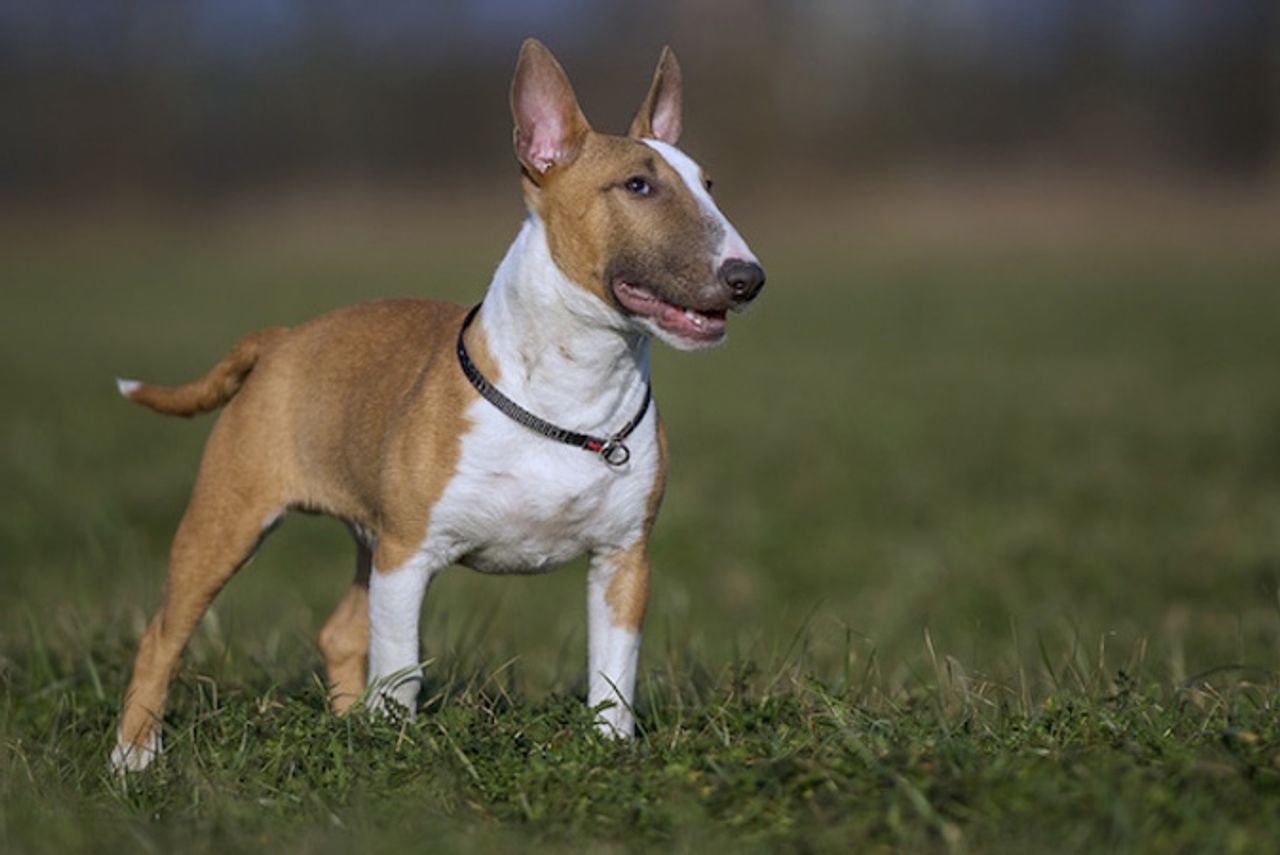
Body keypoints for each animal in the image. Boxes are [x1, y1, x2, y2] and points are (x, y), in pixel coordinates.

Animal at [110, 39, 757, 773]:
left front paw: (610, 754)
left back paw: (342, 728)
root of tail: (281, 339)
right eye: (638, 186)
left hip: (364, 539)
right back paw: (134, 757)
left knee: (338, 633)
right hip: (231, 518)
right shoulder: (408, 556)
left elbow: (613, 675)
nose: (749, 278)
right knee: (163, 634)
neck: (571, 389)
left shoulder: (623, 560)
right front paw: (396, 754)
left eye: (709, 185)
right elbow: (399, 672)